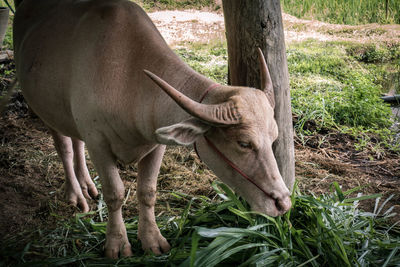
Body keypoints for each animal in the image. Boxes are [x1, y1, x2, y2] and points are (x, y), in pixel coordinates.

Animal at [14, 0, 292, 258]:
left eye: (274, 139)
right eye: (244, 143)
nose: (283, 203)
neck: (128, 80)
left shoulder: (156, 142)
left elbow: (147, 191)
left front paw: (152, 240)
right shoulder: (98, 142)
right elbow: (114, 193)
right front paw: (117, 244)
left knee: (75, 141)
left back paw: (86, 184)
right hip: (45, 109)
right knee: (64, 147)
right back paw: (75, 193)